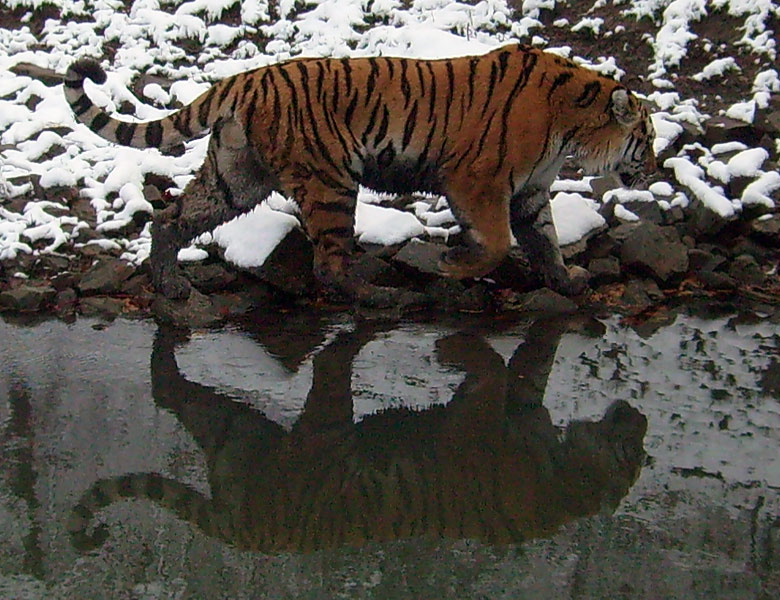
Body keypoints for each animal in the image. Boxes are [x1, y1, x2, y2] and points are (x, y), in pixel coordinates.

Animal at [64, 44, 656, 304]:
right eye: (647, 139)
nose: (651, 167)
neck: (574, 122)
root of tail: (244, 79)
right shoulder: (477, 181)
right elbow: (495, 242)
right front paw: (452, 265)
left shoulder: (529, 190)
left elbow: (545, 239)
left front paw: (567, 281)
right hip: (330, 182)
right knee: (329, 265)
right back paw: (381, 297)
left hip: (235, 178)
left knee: (170, 218)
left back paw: (170, 284)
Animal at [67, 318, 644, 552]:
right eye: (633, 452)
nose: (637, 416)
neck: (567, 485)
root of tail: (245, 532)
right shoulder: (474, 426)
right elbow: (499, 370)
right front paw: (452, 347)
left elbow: (518, 369)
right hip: (315, 428)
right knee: (329, 360)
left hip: (238, 434)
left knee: (177, 397)